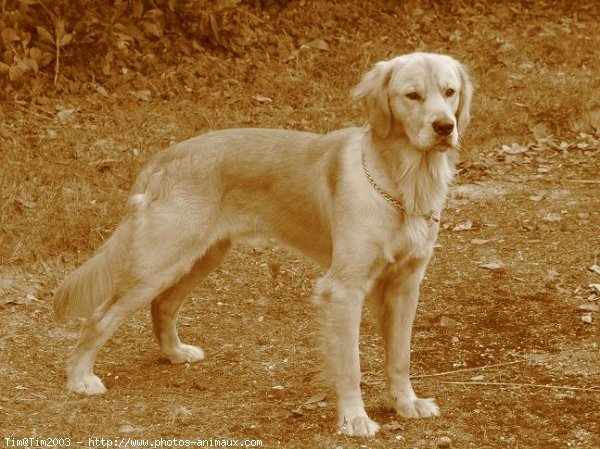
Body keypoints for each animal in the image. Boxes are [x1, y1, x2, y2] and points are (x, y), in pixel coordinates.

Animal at [54, 51, 472, 434]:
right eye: (412, 95)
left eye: (449, 92)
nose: (444, 126)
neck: (401, 181)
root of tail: (167, 155)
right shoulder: (343, 289)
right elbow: (350, 366)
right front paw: (354, 419)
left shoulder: (406, 284)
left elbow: (400, 356)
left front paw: (407, 403)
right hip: (159, 261)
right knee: (101, 316)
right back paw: (79, 378)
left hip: (202, 256)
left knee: (163, 305)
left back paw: (175, 352)